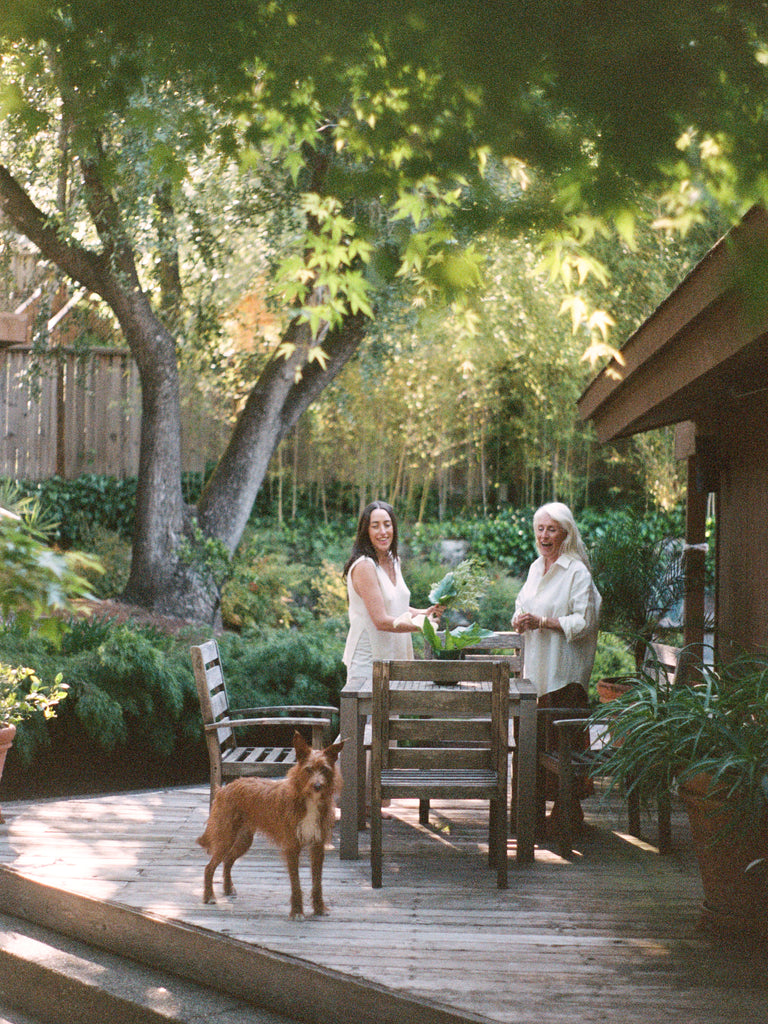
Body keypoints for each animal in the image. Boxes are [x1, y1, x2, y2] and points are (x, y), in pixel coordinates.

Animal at [197, 731, 343, 919]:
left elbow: (317, 883)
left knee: (228, 860)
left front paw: (319, 908)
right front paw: (297, 912)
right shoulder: (291, 847)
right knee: (209, 867)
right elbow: (296, 884)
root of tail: (224, 788)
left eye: (324, 769)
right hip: (226, 838)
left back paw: (228, 889)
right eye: (308, 769)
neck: (307, 800)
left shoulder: (317, 847)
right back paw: (209, 897)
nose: (318, 786)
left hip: (243, 840)